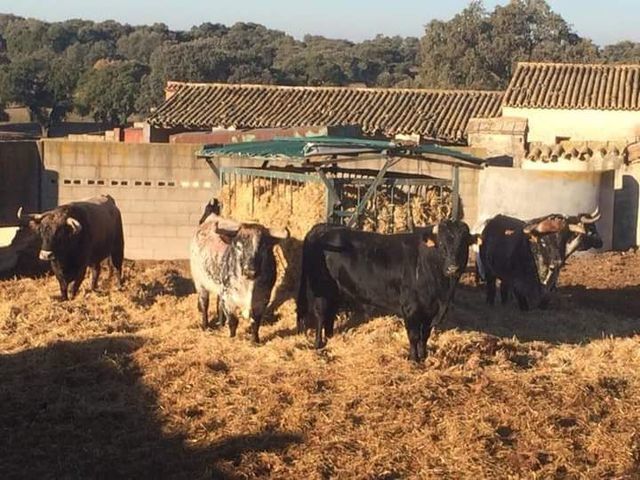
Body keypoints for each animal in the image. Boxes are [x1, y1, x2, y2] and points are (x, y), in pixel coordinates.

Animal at [189, 201, 288, 344]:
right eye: (238, 246)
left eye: (263, 247)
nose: (250, 271)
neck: (249, 285)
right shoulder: (229, 299)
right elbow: (233, 321)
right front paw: (232, 337)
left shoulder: (262, 299)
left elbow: (255, 322)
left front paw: (255, 341)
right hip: (200, 282)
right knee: (204, 304)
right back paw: (205, 326)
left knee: (219, 304)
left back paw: (220, 323)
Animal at [296, 219, 480, 362]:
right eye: (441, 245)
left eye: (463, 245)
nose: (452, 268)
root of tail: (324, 227)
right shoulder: (411, 308)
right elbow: (414, 335)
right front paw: (414, 359)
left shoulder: (430, 311)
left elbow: (425, 336)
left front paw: (424, 356)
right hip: (322, 288)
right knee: (321, 314)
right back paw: (318, 344)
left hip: (336, 289)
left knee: (330, 313)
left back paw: (331, 337)